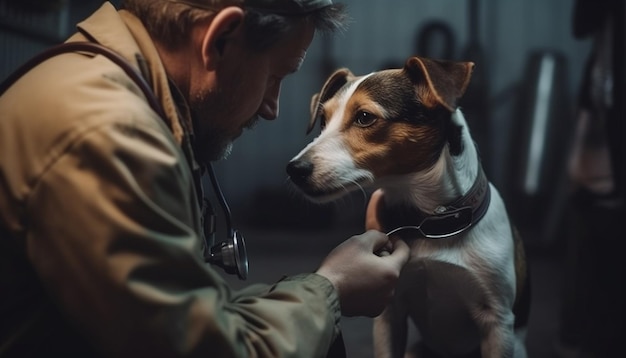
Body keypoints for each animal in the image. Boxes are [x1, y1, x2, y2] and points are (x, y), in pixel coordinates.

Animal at [286, 56, 528, 358]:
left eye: (364, 117)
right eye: (323, 120)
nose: (293, 169)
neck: (431, 223)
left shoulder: (497, 322)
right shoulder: (390, 312)